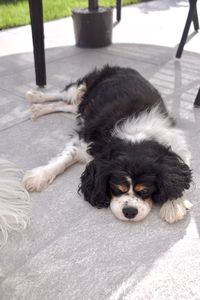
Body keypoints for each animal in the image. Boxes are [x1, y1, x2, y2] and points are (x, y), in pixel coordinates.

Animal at [23, 65, 192, 223]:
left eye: (145, 191)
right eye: (117, 188)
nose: (129, 212)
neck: (136, 132)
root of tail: (122, 67)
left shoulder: (174, 141)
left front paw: (175, 204)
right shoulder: (87, 139)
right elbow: (65, 158)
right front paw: (39, 176)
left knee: (69, 106)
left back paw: (38, 109)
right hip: (83, 86)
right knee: (64, 94)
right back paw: (36, 97)